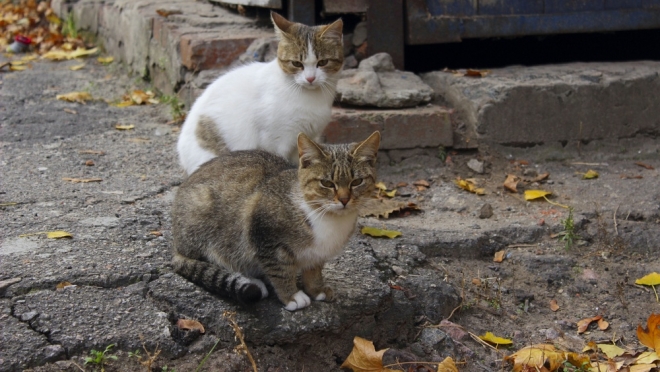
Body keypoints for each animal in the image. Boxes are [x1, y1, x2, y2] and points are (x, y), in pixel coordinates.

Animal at [171, 131, 382, 310]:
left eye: (357, 182)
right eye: (327, 183)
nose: (345, 200)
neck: (327, 219)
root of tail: (177, 245)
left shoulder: (317, 253)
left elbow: (313, 270)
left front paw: (316, 289)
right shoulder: (263, 235)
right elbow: (279, 270)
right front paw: (291, 296)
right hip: (205, 221)